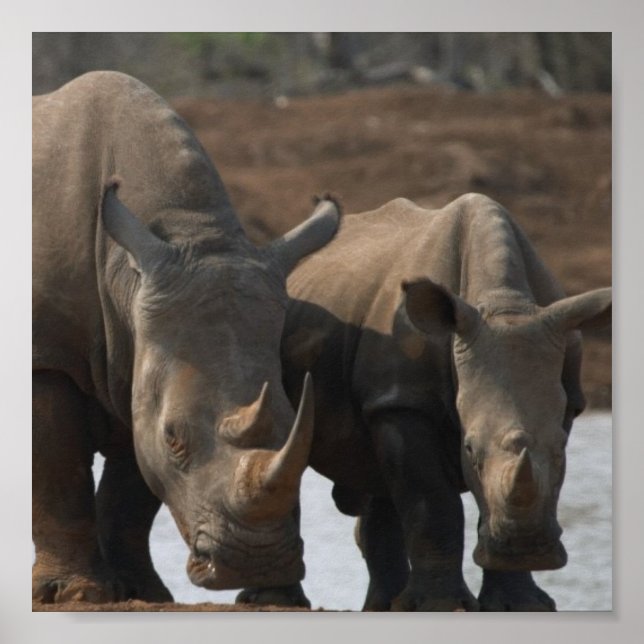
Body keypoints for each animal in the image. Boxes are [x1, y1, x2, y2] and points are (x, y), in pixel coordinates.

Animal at [32, 71, 340, 605]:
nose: (254, 561)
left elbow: (132, 490)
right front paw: (77, 594)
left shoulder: (138, 352)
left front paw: (144, 592)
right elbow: (58, 473)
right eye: (174, 438)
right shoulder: (46, 355)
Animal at [259, 193, 610, 611]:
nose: (525, 549)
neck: (505, 303)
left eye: (561, 451)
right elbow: (432, 503)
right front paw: (441, 605)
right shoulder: (405, 400)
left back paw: (383, 606)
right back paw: (277, 599)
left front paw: (521, 604)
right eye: (469, 449)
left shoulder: (567, 397)